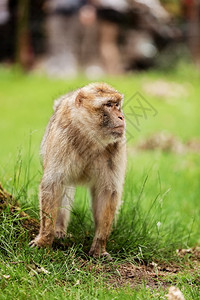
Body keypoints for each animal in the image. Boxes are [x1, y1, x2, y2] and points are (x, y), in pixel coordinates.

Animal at [29, 82, 126, 258]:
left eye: (117, 105)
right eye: (108, 105)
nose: (121, 117)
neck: (89, 137)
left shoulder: (117, 146)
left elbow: (108, 191)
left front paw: (99, 247)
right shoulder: (61, 139)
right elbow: (52, 185)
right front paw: (44, 239)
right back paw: (59, 229)